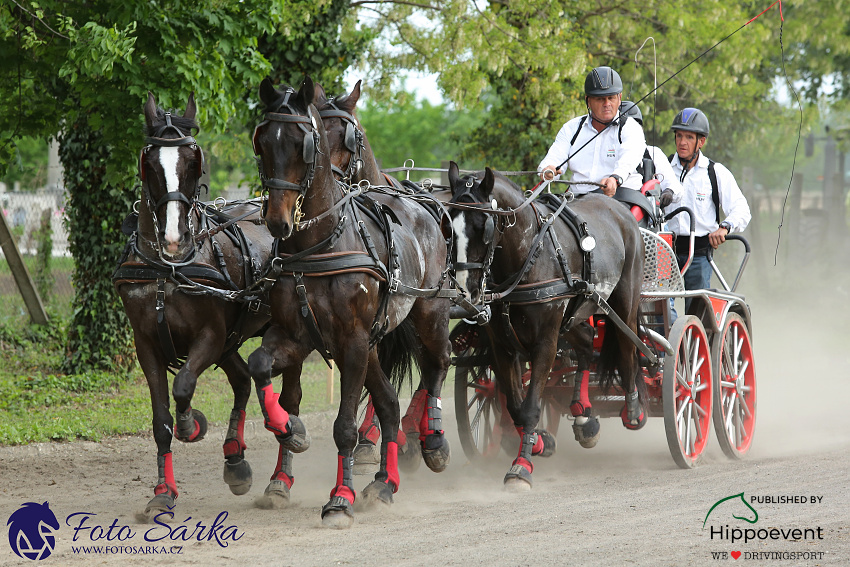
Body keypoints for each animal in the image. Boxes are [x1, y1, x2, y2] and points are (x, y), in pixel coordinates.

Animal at [113, 94, 272, 520]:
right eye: (149, 162)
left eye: (193, 159)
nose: (172, 238)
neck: (168, 269)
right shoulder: (146, 345)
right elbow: (161, 421)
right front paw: (163, 492)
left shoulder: (210, 336)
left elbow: (183, 385)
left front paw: (192, 424)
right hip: (232, 340)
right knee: (242, 380)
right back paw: (235, 459)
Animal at [248, 79, 454, 528]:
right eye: (262, 141)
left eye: (304, 144)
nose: (277, 221)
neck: (321, 243)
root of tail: (424, 206)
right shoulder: (295, 335)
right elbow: (259, 367)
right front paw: (290, 430)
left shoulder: (353, 341)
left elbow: (344, 426)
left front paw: (340, 498)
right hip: (372, 343)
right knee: (390, 404)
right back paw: (384, 483)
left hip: (428, 315)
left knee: (438, 363)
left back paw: (433, 441)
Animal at [448, 162, 640, 490]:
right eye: (448, 225)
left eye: (483, 226)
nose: (465, 291)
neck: (528, 258)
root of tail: (619, 209)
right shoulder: (502, 346)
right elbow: (514, 406)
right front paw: (538, 442)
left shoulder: (545, 343)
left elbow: (530, 407)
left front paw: (521, 466)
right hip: (575, 314)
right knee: (587, 342)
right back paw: (582, 414)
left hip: (625, 303)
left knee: (628, 347)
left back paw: (632, 407)